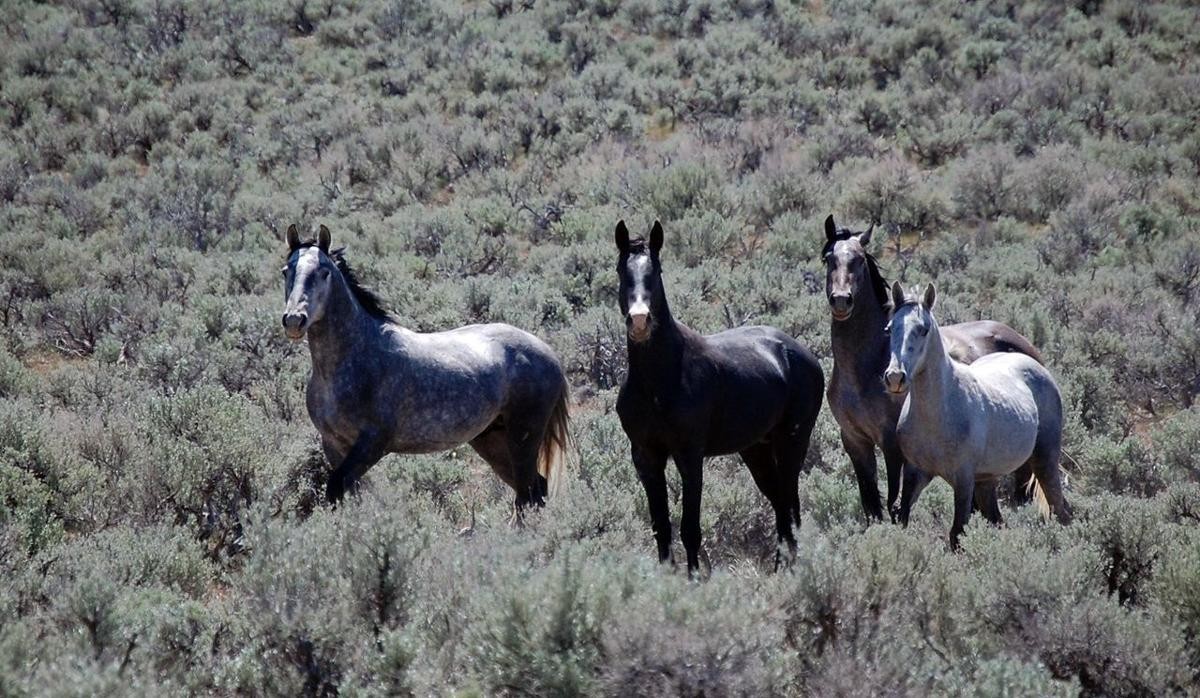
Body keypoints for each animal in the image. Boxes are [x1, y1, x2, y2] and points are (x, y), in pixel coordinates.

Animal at [281, 224, 571, 511]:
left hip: (523, 436)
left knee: (528, 494)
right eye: (286, 271)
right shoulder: (333, 445)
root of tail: (549, 354)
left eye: (324, 272)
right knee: (533, 489)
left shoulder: (371, 444)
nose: (294, 320)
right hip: (492, 440)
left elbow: (336, 488)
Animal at [613, 220, 825, 574]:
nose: (640, 320)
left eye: (655, 271)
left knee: (789, 507)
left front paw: (695, 578)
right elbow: (661, 527)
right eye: (620, 270)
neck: (659, 381)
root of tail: (801, 354)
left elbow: (690, 529)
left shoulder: (689, 455)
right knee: (782, 505)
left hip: (793, 442)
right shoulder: (645, 456)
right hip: (756, 450)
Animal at [822, 215, 1042, 524]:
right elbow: (871, 504)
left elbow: (893, 500)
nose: (842, 300)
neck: (865, 369)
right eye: (828, 258)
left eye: (859, 260)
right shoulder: (854, 441)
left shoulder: (892, 445)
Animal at [884, 281, 1071, 549]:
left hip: (1044, 460)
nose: (895, 378)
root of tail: (1033, 362)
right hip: (987, 480)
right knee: (999, 520)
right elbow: (902, 515)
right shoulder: (915, 472)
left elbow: (957, 532)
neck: (939, 414)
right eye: (890, 329)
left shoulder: (963, 479)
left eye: (923, 329)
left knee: (1059, 509)